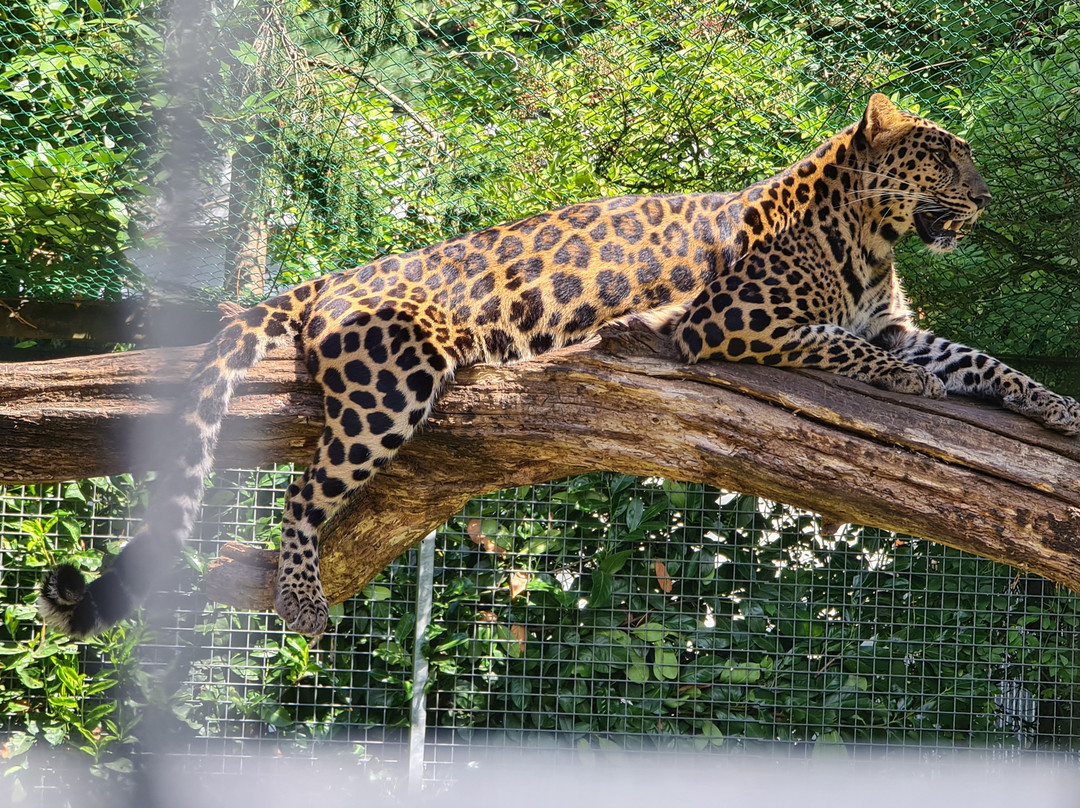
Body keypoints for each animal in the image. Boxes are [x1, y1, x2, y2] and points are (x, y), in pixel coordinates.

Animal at [38, 92, 1075, 639]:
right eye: (944, 160)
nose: (985, 200)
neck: (869, 237)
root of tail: (333, 275)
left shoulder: (901, 323)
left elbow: (982, 359)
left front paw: (1057, 408)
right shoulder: (728, 323)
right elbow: (844, 345)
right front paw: (909, 387)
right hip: (393, 380)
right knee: (300, 490)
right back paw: (298, 599)